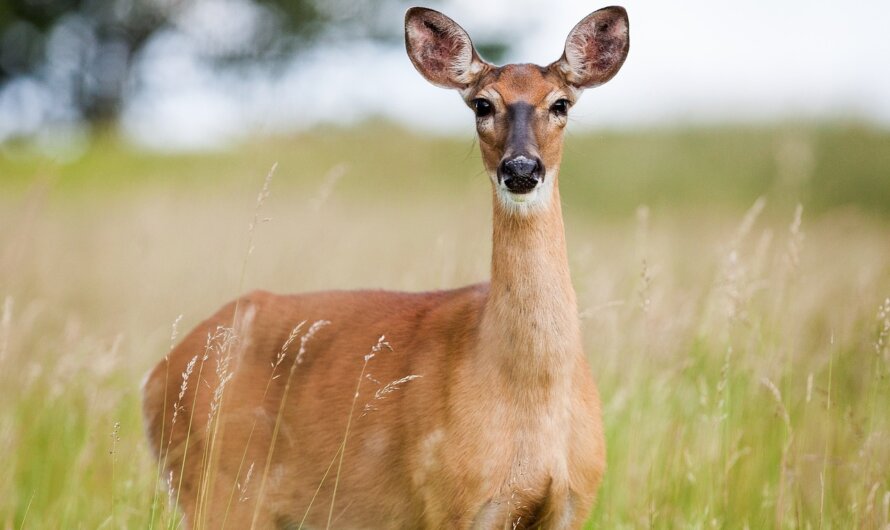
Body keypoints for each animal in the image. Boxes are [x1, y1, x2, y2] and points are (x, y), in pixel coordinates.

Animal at [142, 5, 628, 528]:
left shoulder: (573, 501)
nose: (521, 169)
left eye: (561, 104)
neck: (531, 394)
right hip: (215, 489)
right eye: (481, 105)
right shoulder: (450, 501)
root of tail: (155, 378)